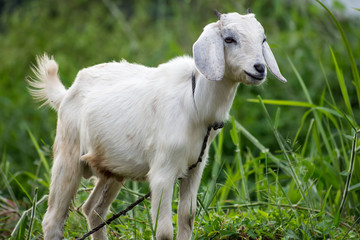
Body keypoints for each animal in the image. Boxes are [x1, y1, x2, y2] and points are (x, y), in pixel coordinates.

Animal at [27, 11, 286, 240]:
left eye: (262, 39)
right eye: (229, 39)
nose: (259, 68)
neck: (196, 103)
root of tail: (66, 93)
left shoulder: (195, 169)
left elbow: (187, 219)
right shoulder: (162, 172)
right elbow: (163, 232)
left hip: (112, 169)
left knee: (93, 210)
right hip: (67, 156)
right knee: (53, 219)